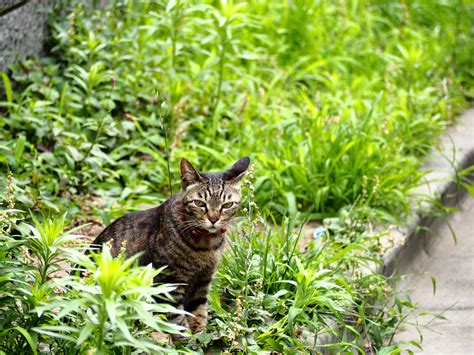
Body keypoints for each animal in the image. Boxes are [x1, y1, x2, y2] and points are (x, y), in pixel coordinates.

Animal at [90, 157, 250, 338]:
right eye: (199, 203)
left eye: (227, 205)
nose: (214, 219)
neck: (206, 245)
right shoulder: (168, 282)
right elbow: (177, 320)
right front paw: (187, 340)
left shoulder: (203, 281)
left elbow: (198, 313)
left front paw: (200, 335)